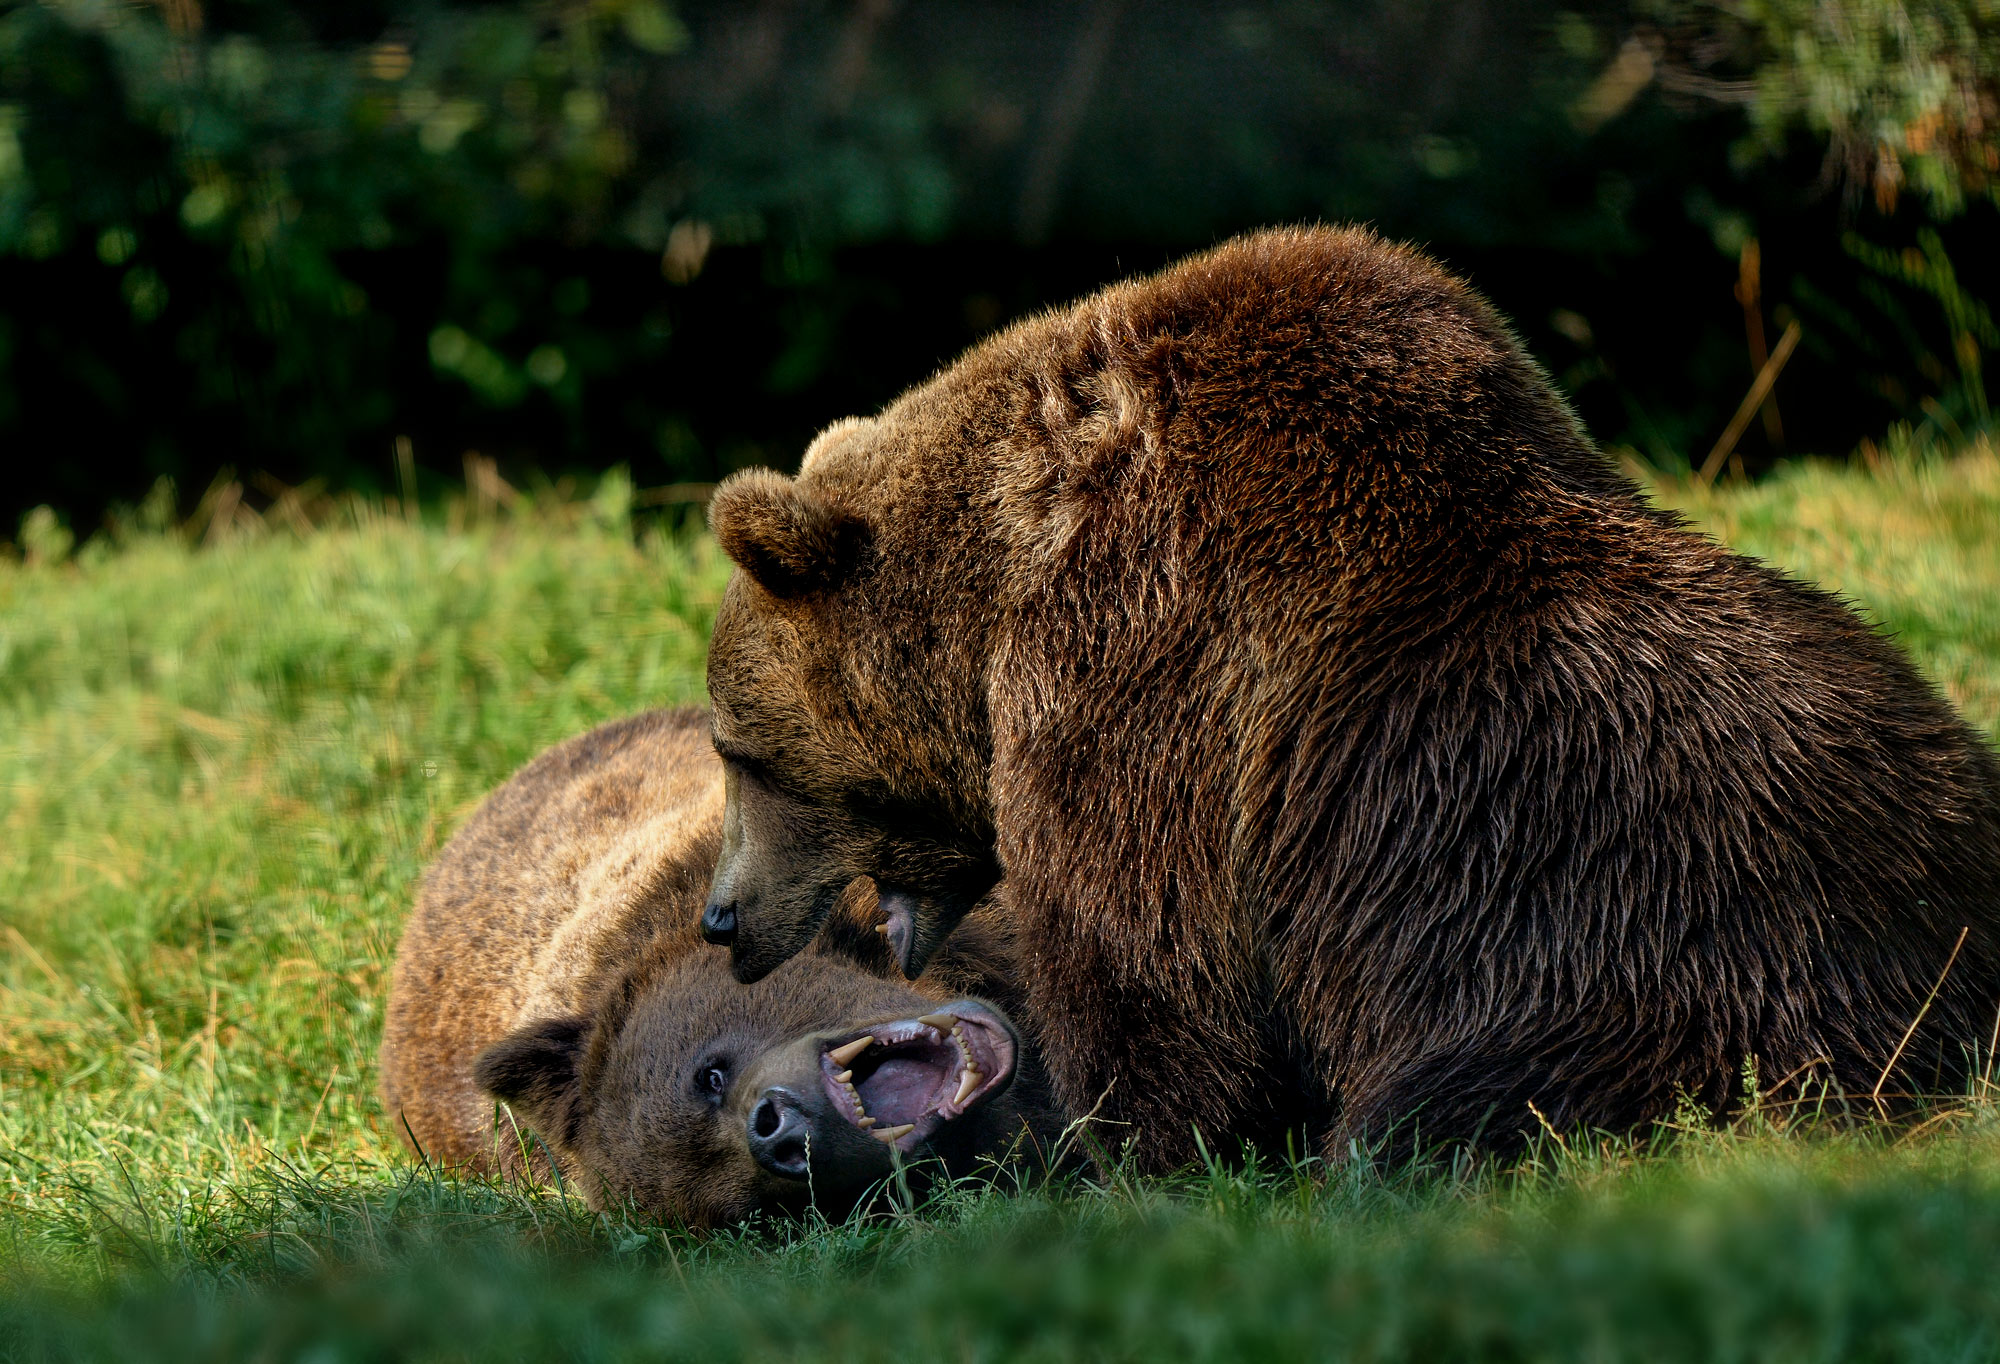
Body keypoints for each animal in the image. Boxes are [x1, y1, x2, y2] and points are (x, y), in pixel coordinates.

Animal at [696, 223, 2000, 1168]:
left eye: (737, 750)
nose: (719, 917)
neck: (989, 600)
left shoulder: (1136, 667)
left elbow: (1147, 958)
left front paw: (1102, 1144)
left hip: (1621, 965)